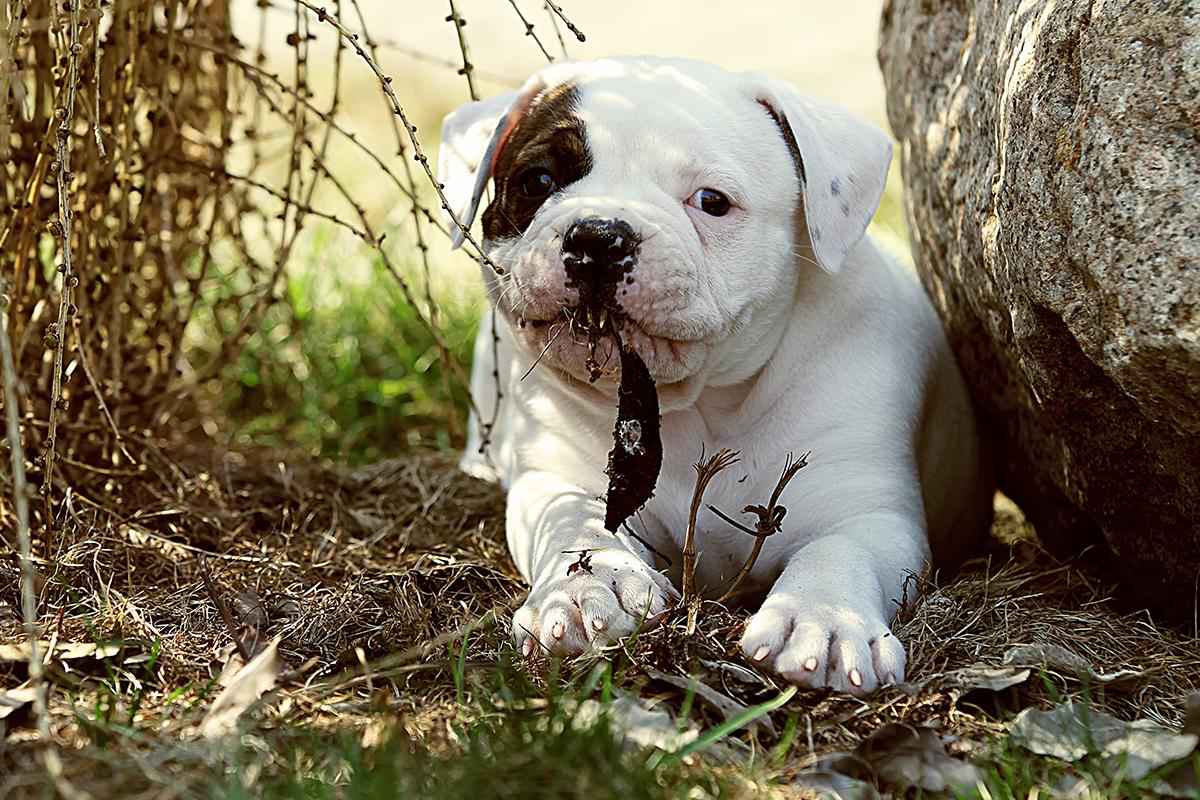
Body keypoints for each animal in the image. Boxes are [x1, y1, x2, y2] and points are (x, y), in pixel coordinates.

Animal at [436, 56, 988, 695]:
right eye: (538, 182)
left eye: (712, 201)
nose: (598, 236)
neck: (693, 405)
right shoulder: (556, 478)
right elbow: (573, 522)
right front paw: (588, 587)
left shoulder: (868, 508)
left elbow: (841, 548)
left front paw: (822, 619)